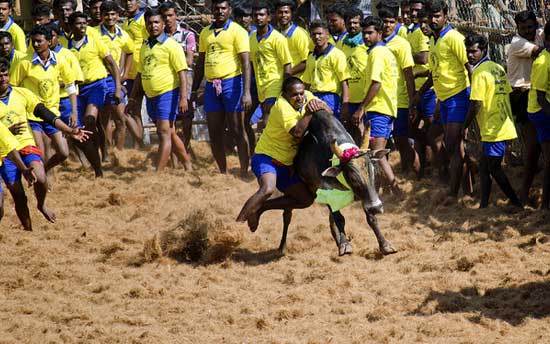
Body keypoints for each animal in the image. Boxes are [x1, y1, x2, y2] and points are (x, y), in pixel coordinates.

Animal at [278, 109, 398, 255]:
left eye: (373, 171)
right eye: (352, 178)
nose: (377, 207)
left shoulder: (366, 196)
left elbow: (371, 218)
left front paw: (385, 244)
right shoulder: (326, 191)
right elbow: (339, 219)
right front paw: (345, 245)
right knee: (287, 215)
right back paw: (282, 246)